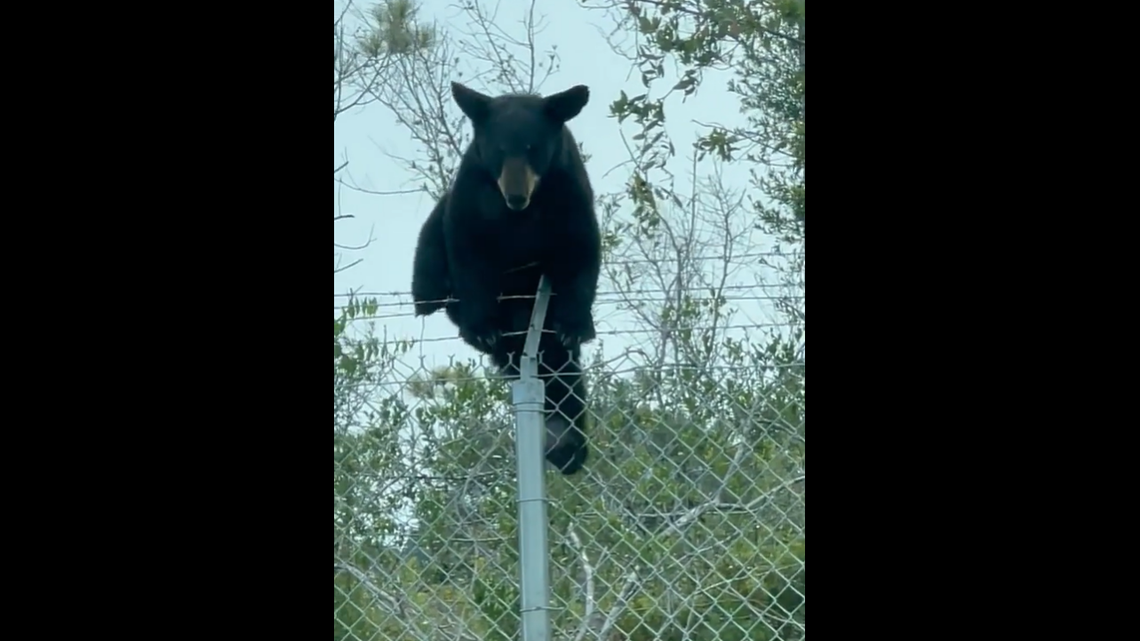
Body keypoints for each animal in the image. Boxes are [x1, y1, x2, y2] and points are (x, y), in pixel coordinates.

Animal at [409, 81, 602, 475]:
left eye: (532, 148)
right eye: (499, 150)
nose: (515, 195)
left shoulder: (569, 191)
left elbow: (582, 251)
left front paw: (575, 325)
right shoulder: (472, 193)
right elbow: (465, 250)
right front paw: (482, 327)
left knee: (560, 369)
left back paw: (566, 442)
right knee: (432, 250)